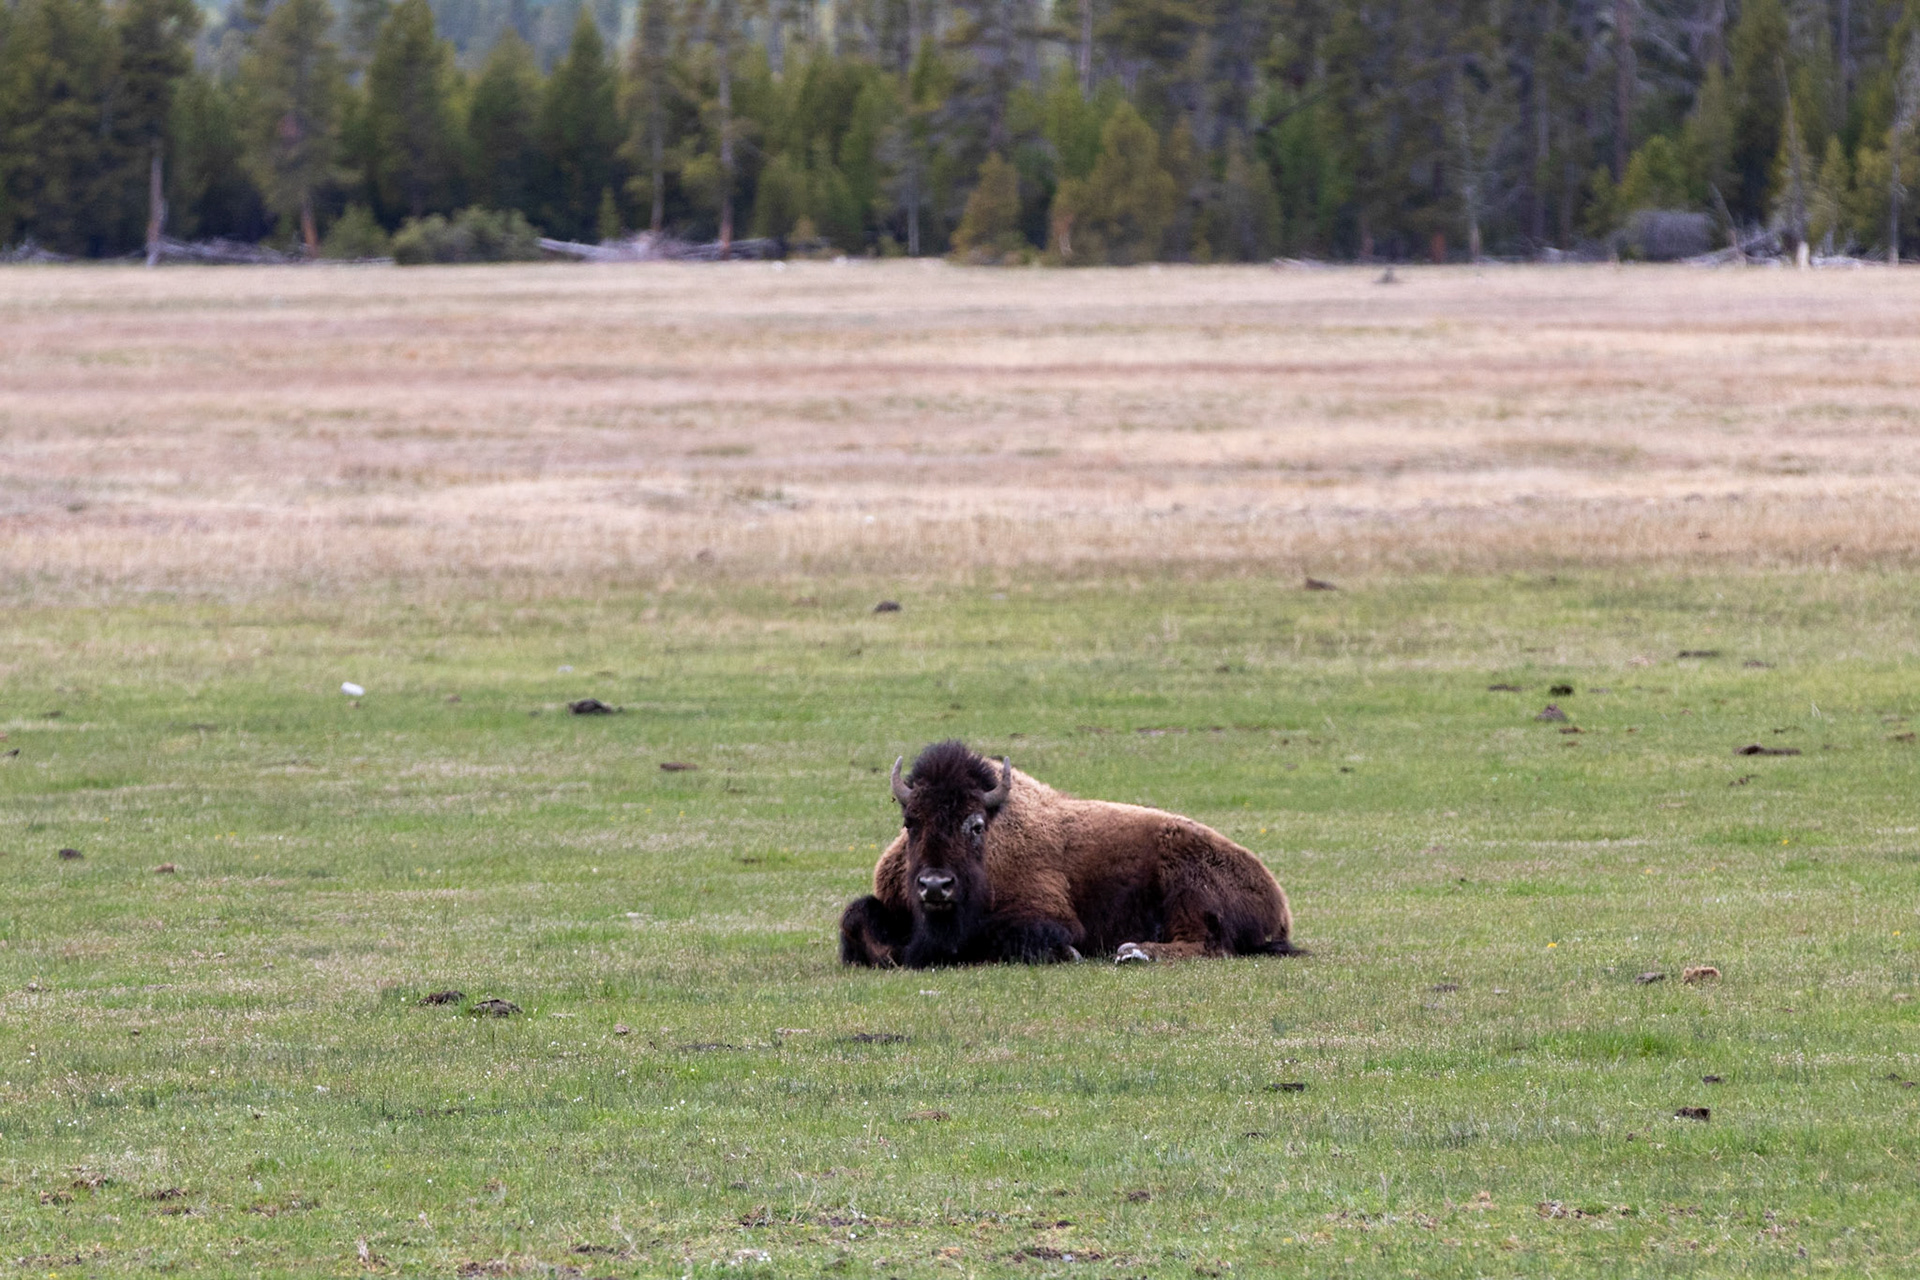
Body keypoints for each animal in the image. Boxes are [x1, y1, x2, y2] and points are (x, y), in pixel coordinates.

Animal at [839, 740, 1302, 967]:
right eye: (910, 822)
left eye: (976, 825)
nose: (936, 886)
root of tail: (1276, 897)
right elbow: (856, 919)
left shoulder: (1050, 914)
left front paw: (1069, 954)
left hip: (1188, 890)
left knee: (1207, 945)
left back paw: (1132, 952)